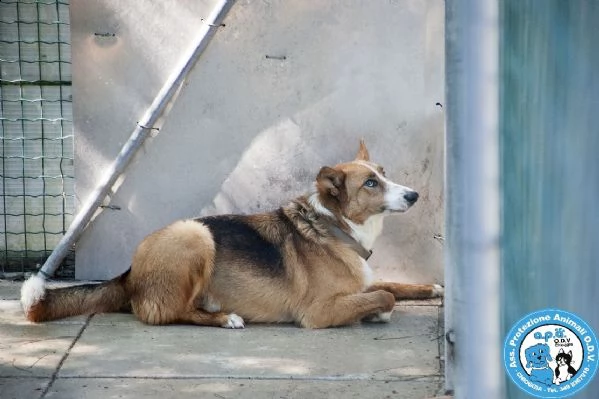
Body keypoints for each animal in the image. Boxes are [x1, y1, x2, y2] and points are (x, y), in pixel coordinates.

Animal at [21, 142, 442, 330]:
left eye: (384, 174)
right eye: (371, 183)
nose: (414, 195)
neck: (336, 225)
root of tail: (128, 273)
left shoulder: (364, 279)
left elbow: (392, 284)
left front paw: (433, 288)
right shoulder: (318, 312)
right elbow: (385, 294)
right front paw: (379, 311)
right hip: (196, 235)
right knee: (165, 314)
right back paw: (225, 318)